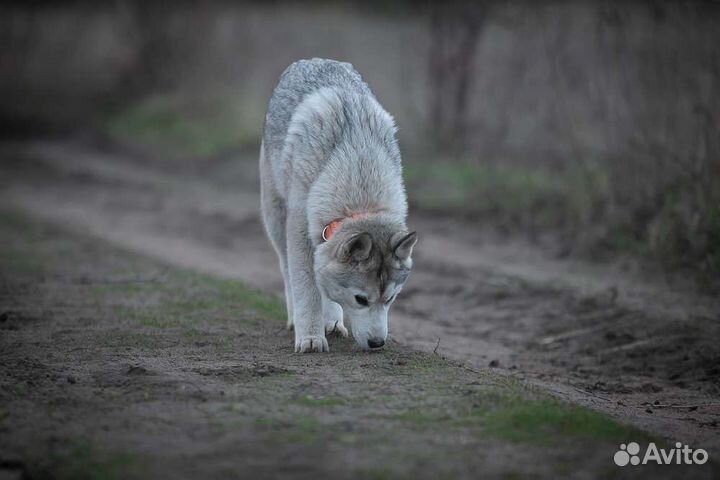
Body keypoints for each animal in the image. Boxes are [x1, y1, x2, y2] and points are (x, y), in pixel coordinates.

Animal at [260, 59, 416, 352]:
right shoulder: (300, 232)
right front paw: (310, 338)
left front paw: (329, 322)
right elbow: (307, 289)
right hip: (275, 218)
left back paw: (332, 322)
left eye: (390, 299)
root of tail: (311, 60)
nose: (377, 343)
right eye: (360, 299)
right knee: (286, 269)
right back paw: (296, 320)